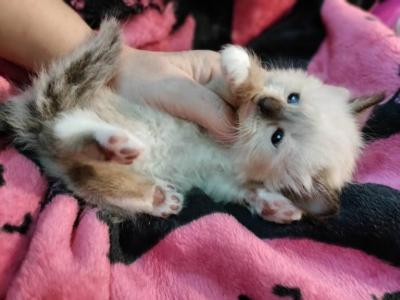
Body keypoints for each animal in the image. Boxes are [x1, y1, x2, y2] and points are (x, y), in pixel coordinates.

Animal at [0, 19, 382, 223]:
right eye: (293, 97)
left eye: (277, 137)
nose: (266, 104)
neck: (233, 148)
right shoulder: (208, 89)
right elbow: (238, 85)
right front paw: (239, 64)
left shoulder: (220, 180)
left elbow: (246, 192)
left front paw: (276, 206)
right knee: (67, 134)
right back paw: (117, 145)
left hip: (81, 161)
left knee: (84, 167)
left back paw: (141, 178)